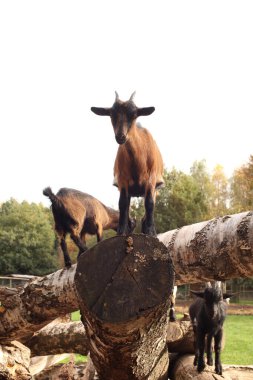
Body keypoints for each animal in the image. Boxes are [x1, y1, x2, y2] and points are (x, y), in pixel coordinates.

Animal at [91, 91, 164, 235]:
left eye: (134, 114)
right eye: (112, 114)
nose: (121, 136)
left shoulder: (151, 180)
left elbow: (149, 203)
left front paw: (150, 232)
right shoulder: (122, 180)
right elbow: (123, 204)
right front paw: (121, 231)